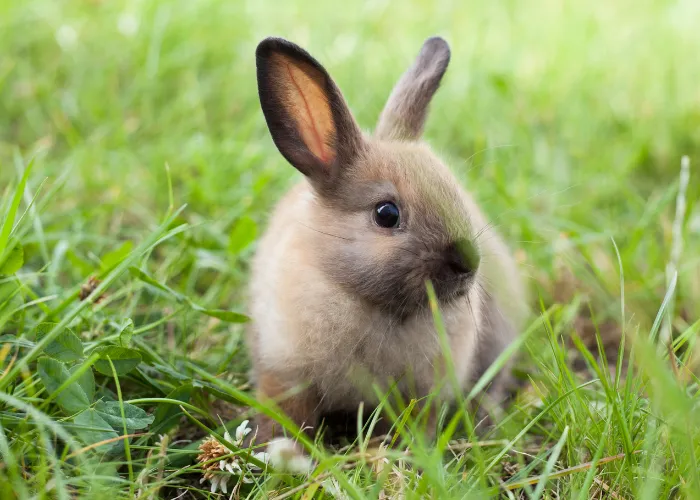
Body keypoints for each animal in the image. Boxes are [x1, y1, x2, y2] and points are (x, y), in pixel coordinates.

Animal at [246, 35, 524, 448]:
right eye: (386, 214)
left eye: (456, 194)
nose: (467, 263)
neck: (371, 303)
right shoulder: (284, 373)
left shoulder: (423, 392)